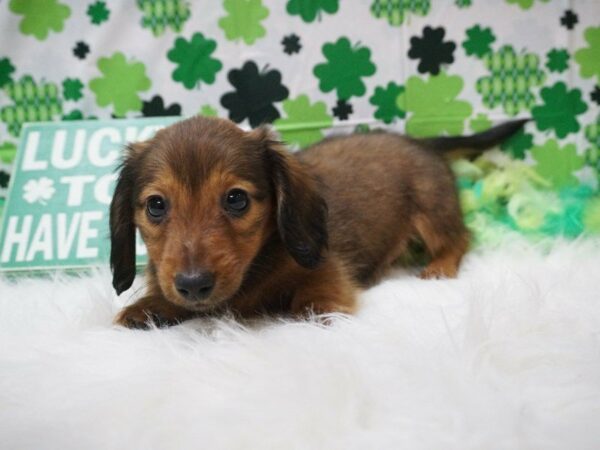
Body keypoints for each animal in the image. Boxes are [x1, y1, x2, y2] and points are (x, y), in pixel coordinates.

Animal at [111, 116, 524, 326]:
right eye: (156, 205)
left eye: (236, 199)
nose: (193, 285)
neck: (255, 268)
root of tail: (423, 143)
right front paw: (148, 307)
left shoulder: (327, 272)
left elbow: (314, 299)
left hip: (433, 211)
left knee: (460, 239)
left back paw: (439, 267)